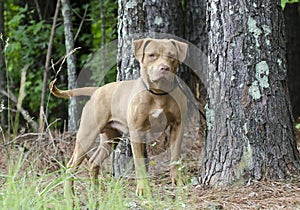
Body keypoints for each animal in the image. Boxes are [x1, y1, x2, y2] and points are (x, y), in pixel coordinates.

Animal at [49, 37, 188, 195]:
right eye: (152, 55)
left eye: (172, 56)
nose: (164, 68)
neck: (158, 93)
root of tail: (96, 90)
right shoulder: (136, 131)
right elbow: (139, 162)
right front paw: (142, 189)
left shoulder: (178, 126)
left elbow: (175, 157)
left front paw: (178, 181)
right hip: (87, 135)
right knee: (71, 165)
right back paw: (69, 194)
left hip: (111, 138)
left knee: (93, 161)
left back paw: (96, 190)